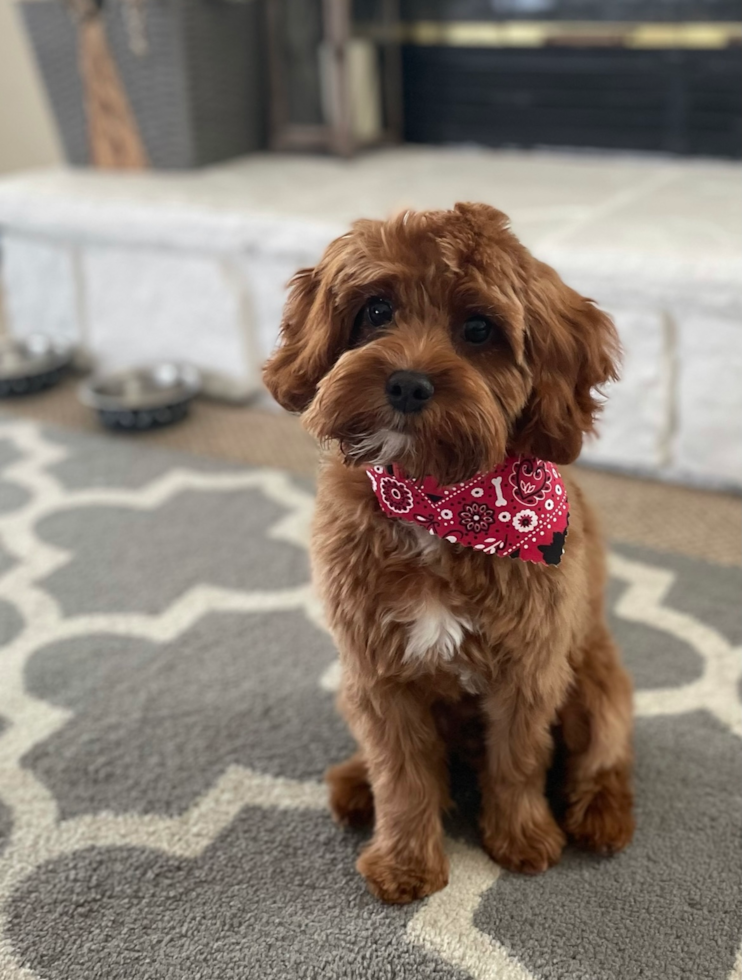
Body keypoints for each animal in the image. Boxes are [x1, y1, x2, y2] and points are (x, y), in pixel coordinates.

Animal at [264, 203, 636, 908]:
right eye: (377, 310)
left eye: (479, 328)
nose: (408, 384)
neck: (442, 505)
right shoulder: (379, 675)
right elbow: (402, 778)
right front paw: (405, 865)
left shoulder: (528, 670)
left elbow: (517, 762)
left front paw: (522, 839)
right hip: (354, 691)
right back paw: (353, 782)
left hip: (598, 680)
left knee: (606, 756)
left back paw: (602, 815)